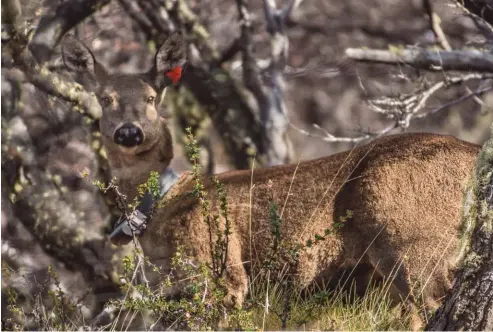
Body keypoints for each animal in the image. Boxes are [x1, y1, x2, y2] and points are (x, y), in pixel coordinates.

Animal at [62, 32, 480, 328]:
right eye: (105, 98)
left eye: (151, 98)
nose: (129, 133)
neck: (159, 208)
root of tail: (475, 155)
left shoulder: (219, 269)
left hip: (412, 236)